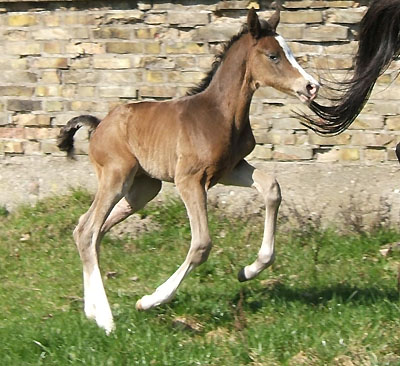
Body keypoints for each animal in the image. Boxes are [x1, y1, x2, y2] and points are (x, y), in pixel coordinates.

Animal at [57, 7, 318, 334]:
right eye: (273, 55)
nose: (311, 86)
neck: (220, 113)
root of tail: (99, 124)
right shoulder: (189, 179)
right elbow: (202, 244)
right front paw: (150, 300)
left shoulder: (230, 169)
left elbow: (271, 187)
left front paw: (249, 270)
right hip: (116, 177)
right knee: (88, 230)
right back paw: (106, 319)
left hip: (143, 189)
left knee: (90, 230)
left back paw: (92, 312)